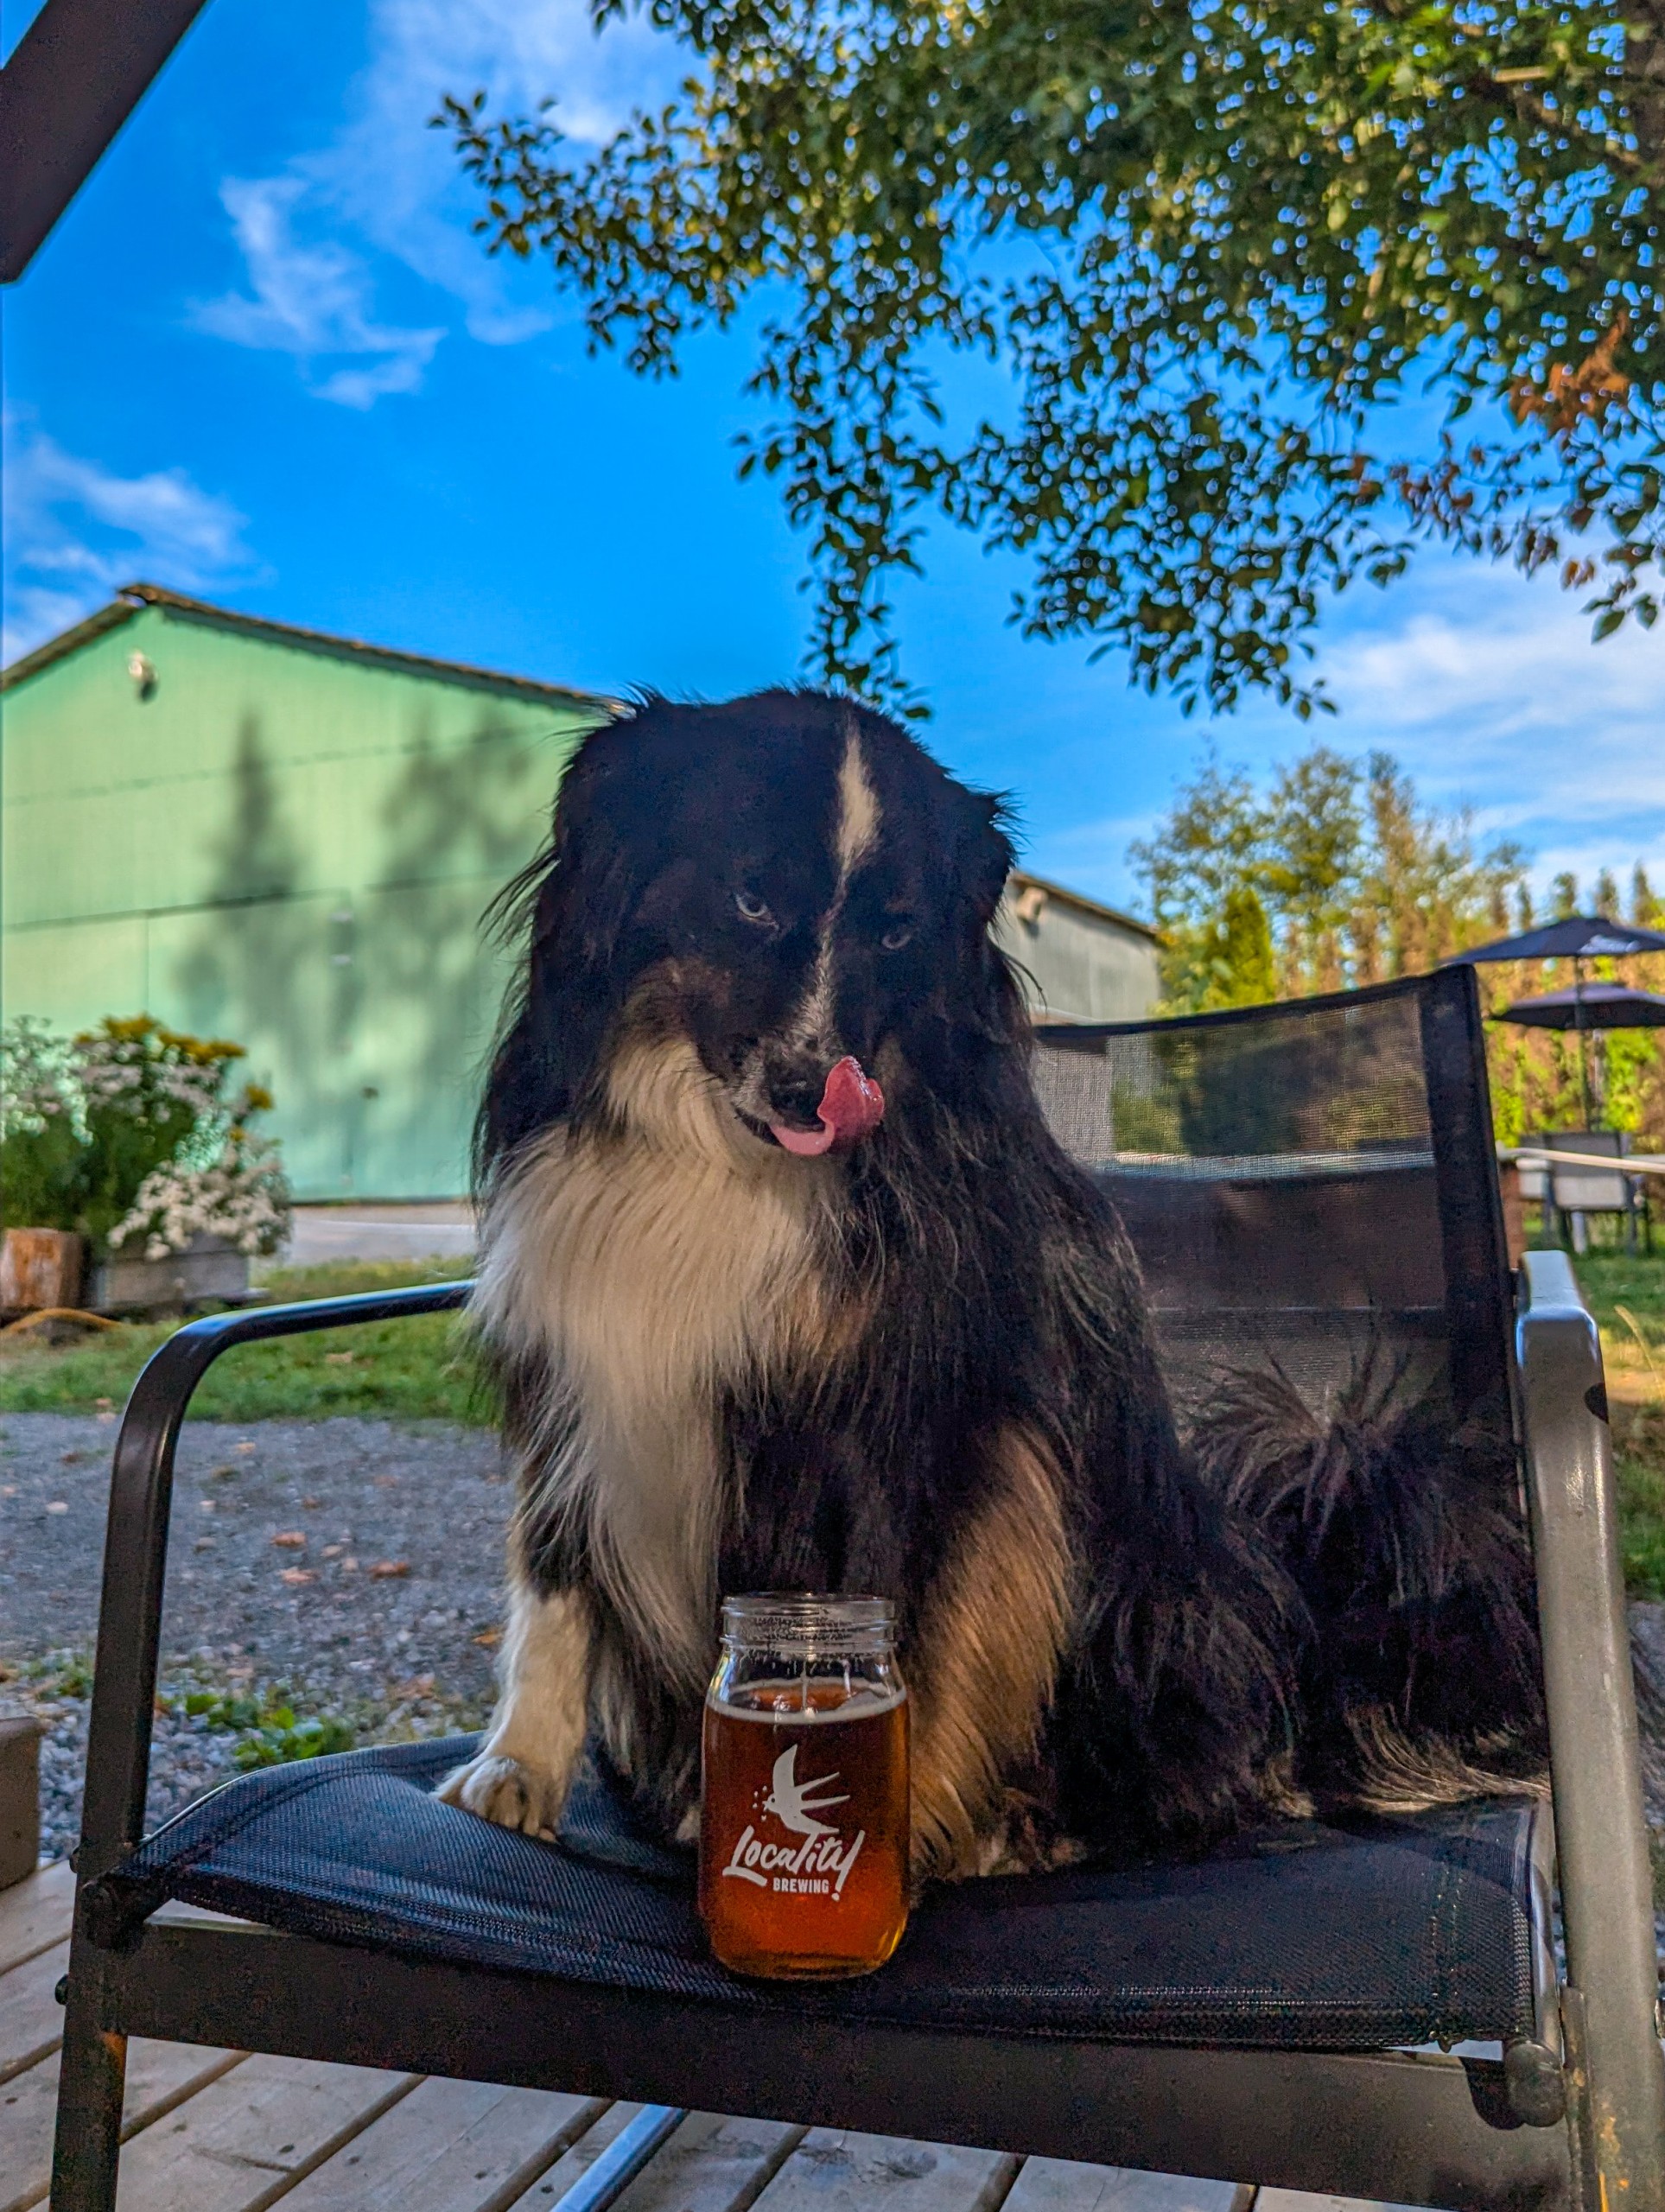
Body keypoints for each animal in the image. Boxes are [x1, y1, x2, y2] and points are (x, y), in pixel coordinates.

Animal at [438, 689, 1543, 1879]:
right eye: (749, 895)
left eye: (895, 931)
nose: (817, 1093)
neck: (719, 1159)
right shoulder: (577, 1375)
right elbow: (551, 1590)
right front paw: (519, 1769)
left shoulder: (893, 1427)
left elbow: (872, 1635)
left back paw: (1024, 1824)